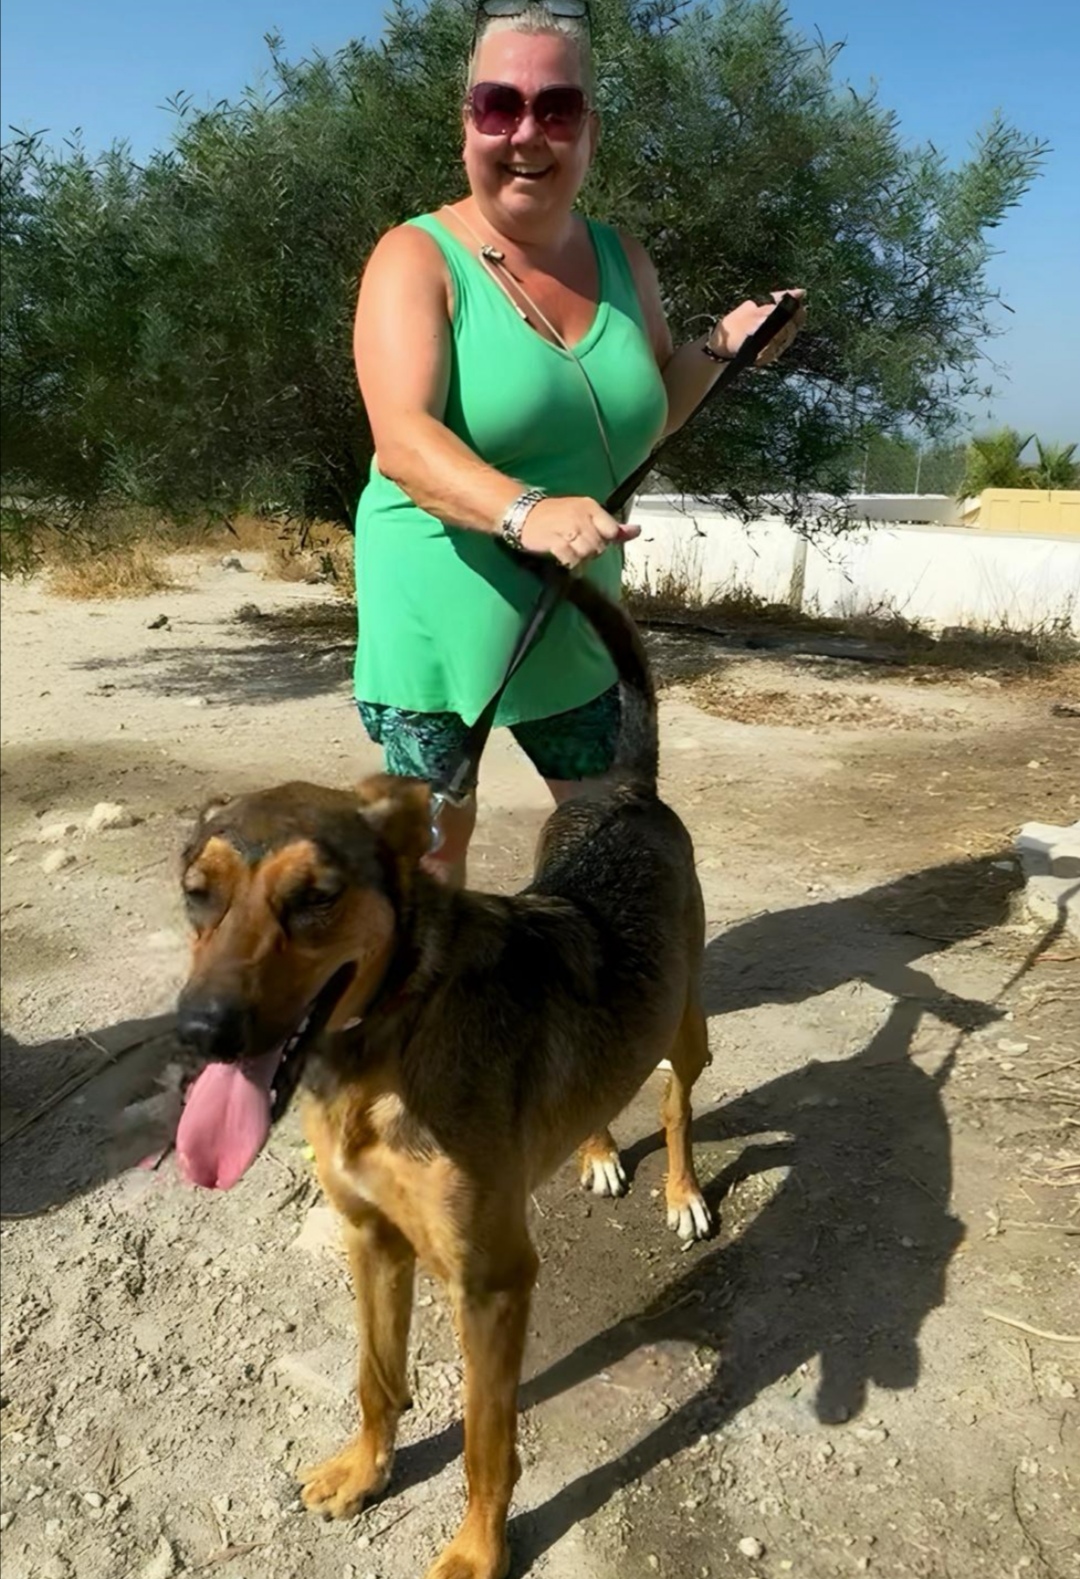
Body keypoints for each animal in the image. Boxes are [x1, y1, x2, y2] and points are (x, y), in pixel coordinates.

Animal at [172, 579, 712, 1579]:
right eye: (198, 892)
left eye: (316, 896)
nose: (199, 1032)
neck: (390, 1041)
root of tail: (624, 790)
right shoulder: (372, 1239)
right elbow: (376, 1378)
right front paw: (365, 1470)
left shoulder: (492, 1282)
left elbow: (485, 1442)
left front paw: (476, 1550)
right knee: (606, 1083)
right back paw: (596, 1149)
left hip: (685, 1018)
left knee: (676, 1094)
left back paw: (683, 1190)